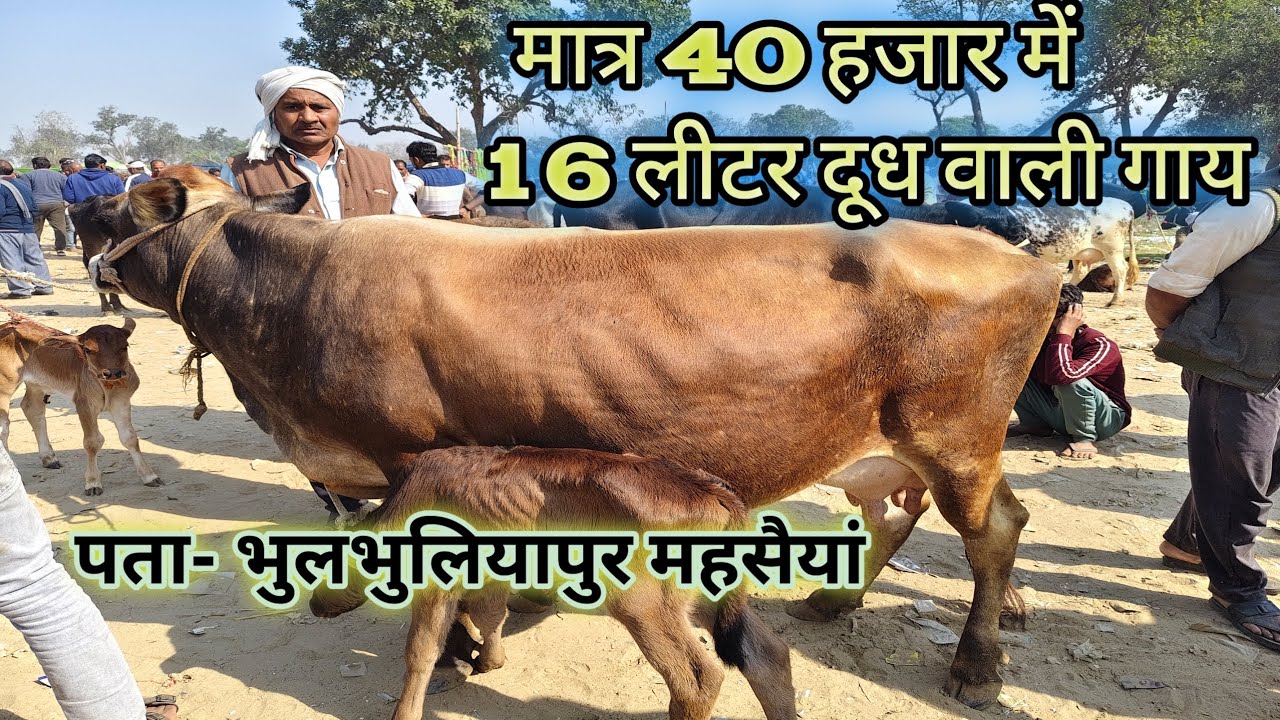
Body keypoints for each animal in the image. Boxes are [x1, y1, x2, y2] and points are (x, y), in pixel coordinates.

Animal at [0, 314, 158, 495]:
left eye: (125, 346)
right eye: (88, 350)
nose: (113, 373)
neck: (107, 387)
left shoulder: (122, 401)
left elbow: (130, 438)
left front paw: (149, 476)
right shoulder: (84, 403)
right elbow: (92, 442)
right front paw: (93, 482)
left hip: (37, 385)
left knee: (32, 409)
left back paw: (49, 458)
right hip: (5, 387)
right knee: (4, 428)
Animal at [311, 445, 795, 720]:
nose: (315, 606)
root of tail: (714, 491)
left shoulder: (436, 580)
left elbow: (421, 650)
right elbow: (490, 615)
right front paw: (490, 661)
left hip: (641, 604)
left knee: (697, 679)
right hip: (704, 598)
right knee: (767, 654)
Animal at [944, 198, 1139, 306]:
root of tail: (1126, 206)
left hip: (1112, 247)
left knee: (1120, 269)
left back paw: (1115, 300)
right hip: (1080, 252)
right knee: (1081, 271)